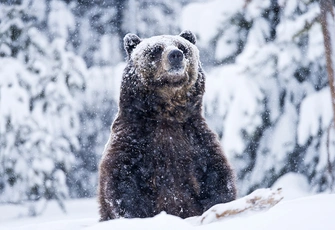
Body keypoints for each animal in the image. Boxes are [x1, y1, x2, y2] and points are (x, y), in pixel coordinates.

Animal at [98, 30, 238, 221]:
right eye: (156, 49)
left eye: (182, 47)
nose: (175, 55)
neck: (167, 115)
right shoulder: (133, 139)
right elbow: (121, 181)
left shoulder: (196, 140)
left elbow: (216, 177)